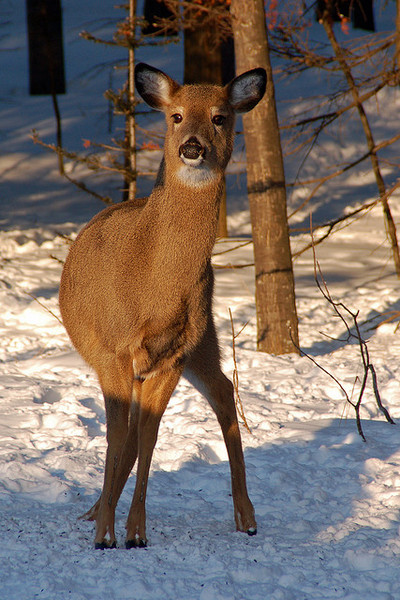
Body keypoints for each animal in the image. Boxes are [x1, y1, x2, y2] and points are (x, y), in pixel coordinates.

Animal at [58, 62, 266, 548]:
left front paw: (134, 531)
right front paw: (107, 533)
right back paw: (96, 512)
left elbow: (148, 437)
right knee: (142, 424)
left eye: (220, 117)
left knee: (222, 392)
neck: (153, 282)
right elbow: (120, 438)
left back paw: (246, 518)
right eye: (175, 116)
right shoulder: (113, 350)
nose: (192, 146)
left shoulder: (173, 354)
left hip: (202, 337)